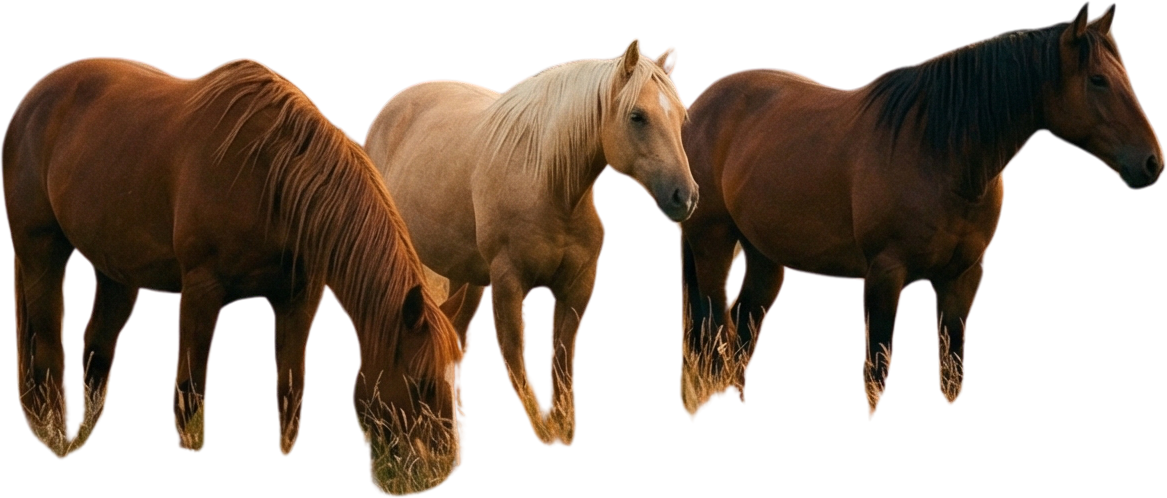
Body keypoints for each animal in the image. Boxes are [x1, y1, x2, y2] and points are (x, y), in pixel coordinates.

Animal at [4, 57, 468, 478]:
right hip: (41, 252)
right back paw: (57, 440)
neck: (272, 175)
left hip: (116, 272)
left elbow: (291, 395)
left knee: (96, 353)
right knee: (48, 353)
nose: (443, 468)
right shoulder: (201, 292)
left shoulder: (300, 300)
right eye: (423, 384)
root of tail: (30, 103)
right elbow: (190, 396)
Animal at [362, 38, 696, 447]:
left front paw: (564, 426)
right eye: (637, 116)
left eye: (679, 118)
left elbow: (561, 359)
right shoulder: (508, 282)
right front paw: (545, 429)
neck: (548, 183)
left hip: (463, 276)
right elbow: (516, 355)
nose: (685, 197)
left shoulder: (576, 287)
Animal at [679, 2, 1162, 417]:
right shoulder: (884, 277)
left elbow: (952, 375)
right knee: (717, 335)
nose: (1153, 162)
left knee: (743, 333)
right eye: (1098, 80)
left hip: (764, 257)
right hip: (713, 245)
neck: (938, 150)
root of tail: (696, 108)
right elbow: (877, 375)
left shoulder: (962, 280)